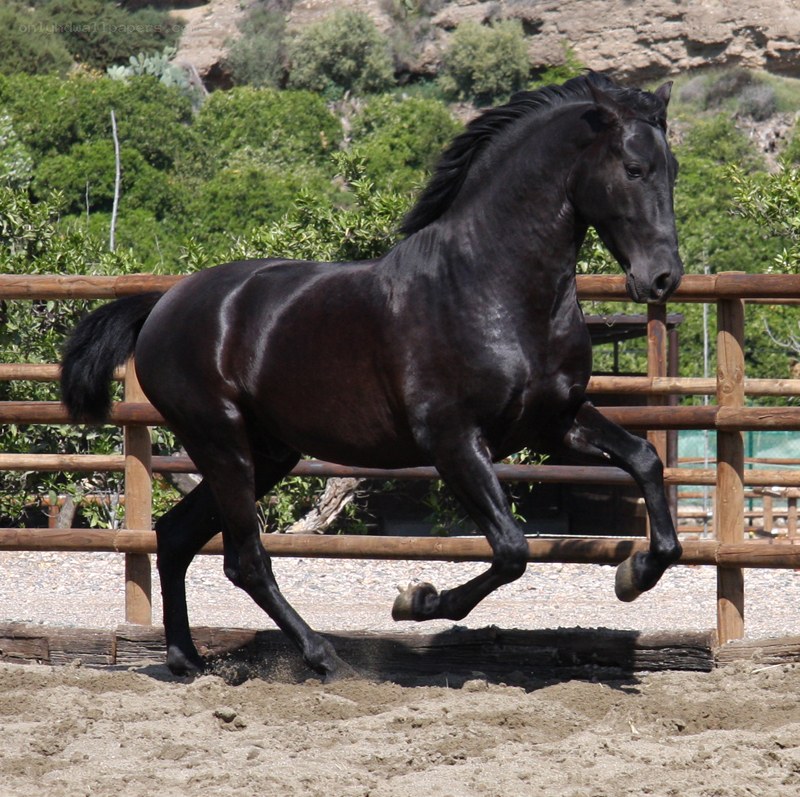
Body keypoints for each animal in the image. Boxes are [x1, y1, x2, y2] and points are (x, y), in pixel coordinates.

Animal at [61, 72, 683, 681]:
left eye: (672, 169)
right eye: (633, 168)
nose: (663, 278)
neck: (489, 286)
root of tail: (163, 305)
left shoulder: (556, 422)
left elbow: (645, 462)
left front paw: (634, 574)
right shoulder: (454, 441)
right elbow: (511, 549)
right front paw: (418, 601)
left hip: (265, 452)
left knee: (177, 537)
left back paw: (187, 660)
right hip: (221, 442)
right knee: (246, 559)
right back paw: (322, 657)